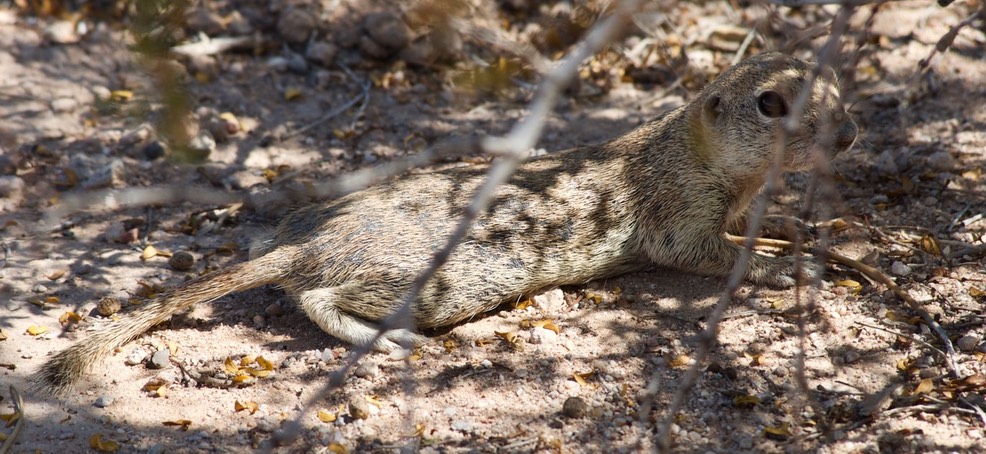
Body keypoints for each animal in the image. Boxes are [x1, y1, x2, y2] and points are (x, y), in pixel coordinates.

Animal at [36, 52, 852, 394]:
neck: (691, 149)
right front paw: (787, 264)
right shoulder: (683, 218)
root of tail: (311, 243)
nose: (846, 136)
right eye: (771, 105)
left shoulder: (732, 205)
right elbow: (715, 254)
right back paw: (384, 338)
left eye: (838, 86)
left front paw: (827, 241)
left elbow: (768, 228)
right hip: (437, 283)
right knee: (317, 299)